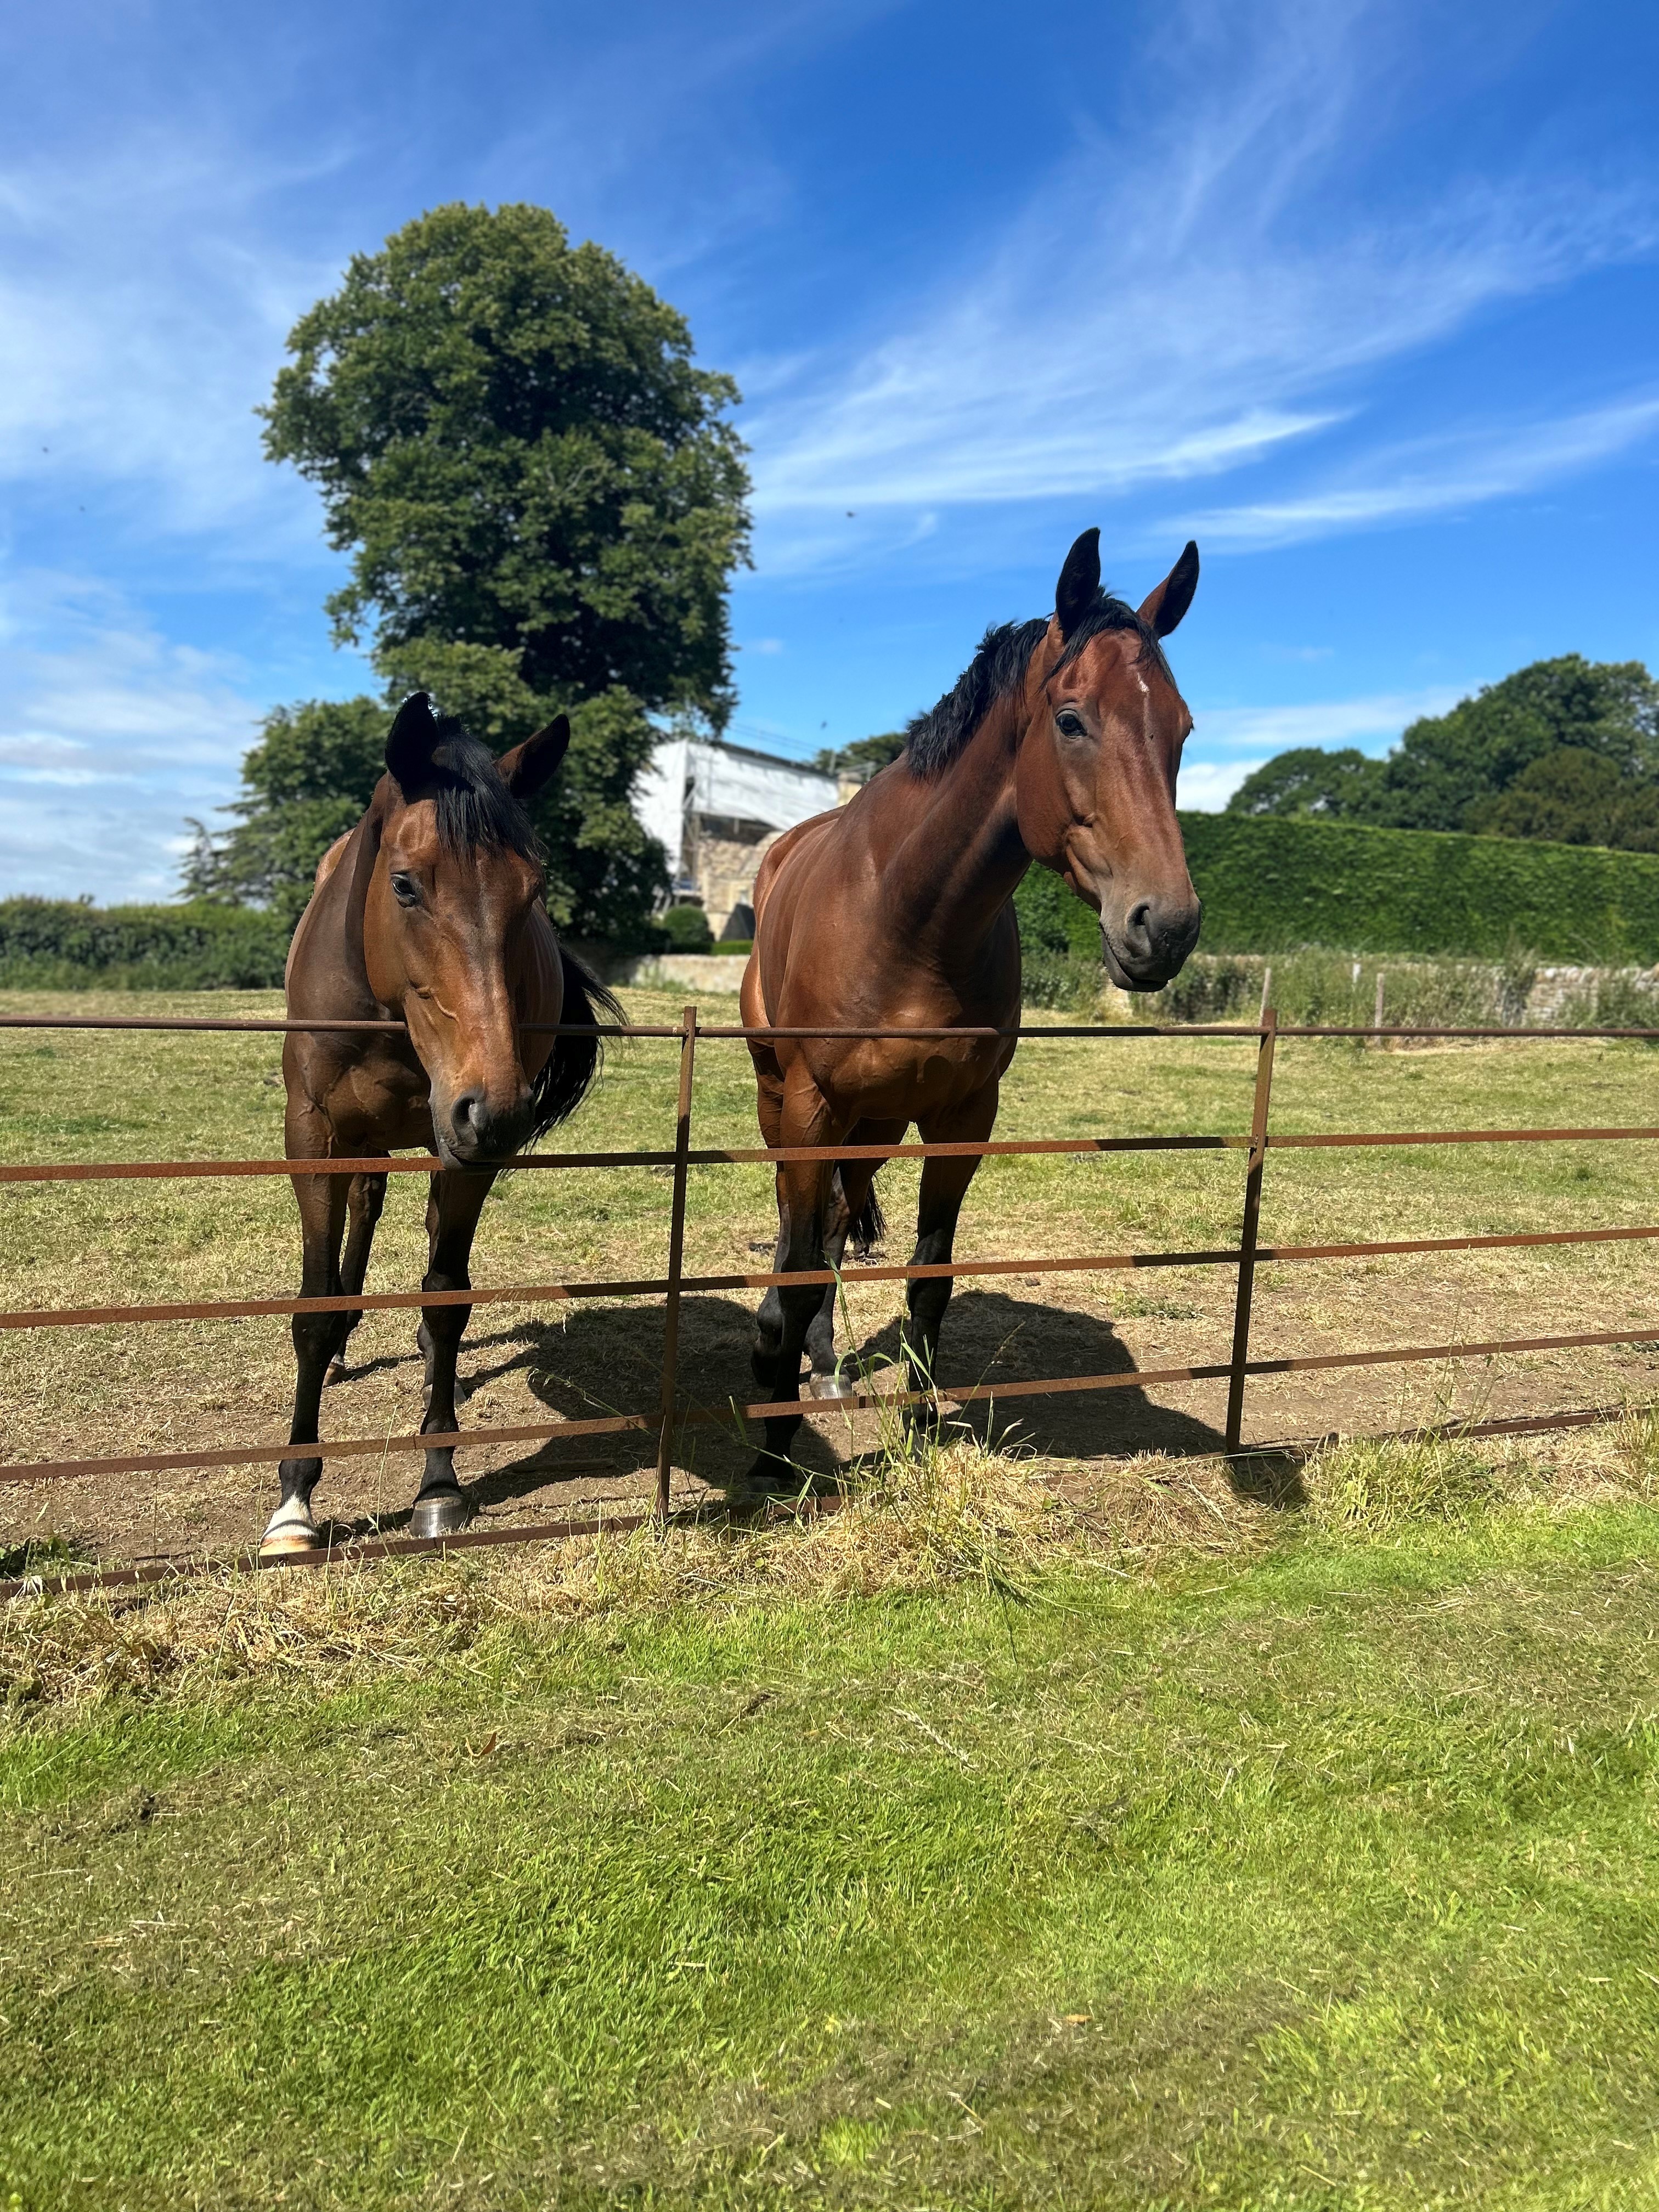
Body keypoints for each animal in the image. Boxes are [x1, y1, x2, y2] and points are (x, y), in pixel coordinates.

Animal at [259, 690, 624, 1557]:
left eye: (533, 891)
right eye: (404, 885)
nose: (497, 1106)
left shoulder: (465, 1147)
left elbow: (446, 1297)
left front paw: (438, 1482)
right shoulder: (314, 1137)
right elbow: (311, 1309)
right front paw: (294, 1501)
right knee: (366, 1211)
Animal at [747, 526, 1203, 1477]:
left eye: (1180, 728)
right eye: (1071, 719)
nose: (1167, 926)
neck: (909, 916)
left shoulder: (962, 1117)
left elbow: (929, 1277)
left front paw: (920, 1427)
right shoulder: (812, 1108)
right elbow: (798, 1265)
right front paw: (772, 1456)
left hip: (877, 1122)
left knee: (839, 1221)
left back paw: (826, 1366)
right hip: (785, 1102)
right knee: (795, 1227)